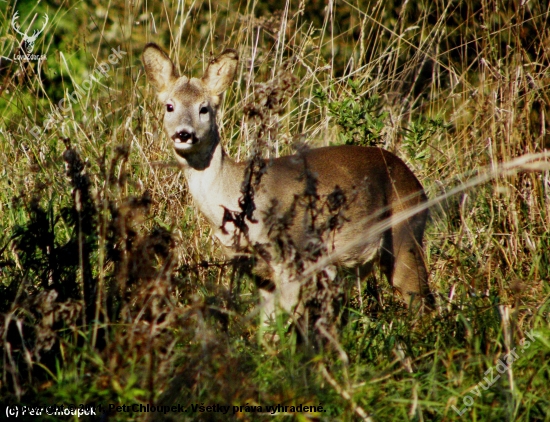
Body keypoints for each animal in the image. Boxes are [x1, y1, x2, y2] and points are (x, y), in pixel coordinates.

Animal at [143, 43, 436, 320]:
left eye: (204, 108)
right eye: (170, 106)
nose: (184, 133)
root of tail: (415, 181)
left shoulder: (292, 258)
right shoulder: (256, 269)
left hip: (405, 233)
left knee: (421, 301)